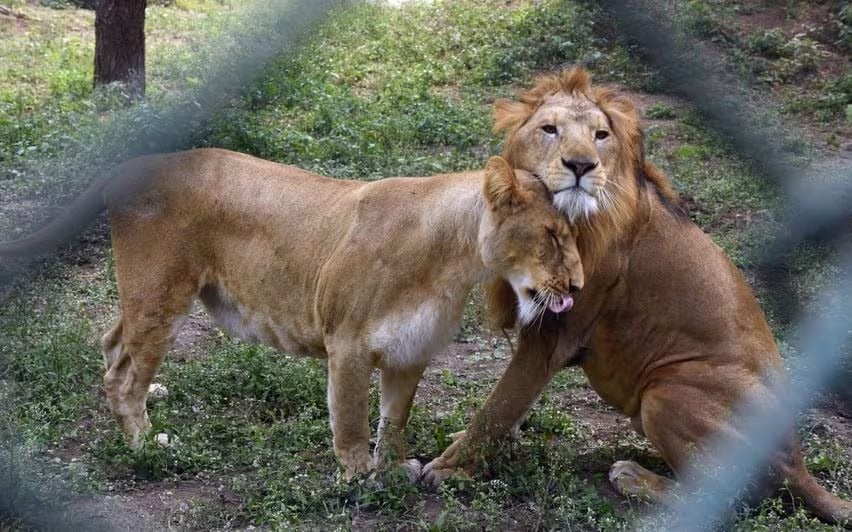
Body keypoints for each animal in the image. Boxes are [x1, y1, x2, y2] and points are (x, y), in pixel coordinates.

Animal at [0, 151, 584, 481]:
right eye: (553, 235)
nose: (578, 285)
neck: (453, 262)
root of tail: (123, 166)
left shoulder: (410, 352)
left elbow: (394, 419)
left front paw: (393, 468)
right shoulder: (347, 344)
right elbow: (350, 416)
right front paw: (358, 475)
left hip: (147, 298)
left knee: (111, 343)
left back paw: (152, 400)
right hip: (159, 295)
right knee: (123, 375)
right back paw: (147, 445)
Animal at [422, 68, 852, 524]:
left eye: (601, 135)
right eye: (549, 129)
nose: (581, 165)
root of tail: (799, 464)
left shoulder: (553, 332)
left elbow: (499, 404)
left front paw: (450, 468)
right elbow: (512, 405)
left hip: (665, 393)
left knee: (731, 497)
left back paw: (633, 477)